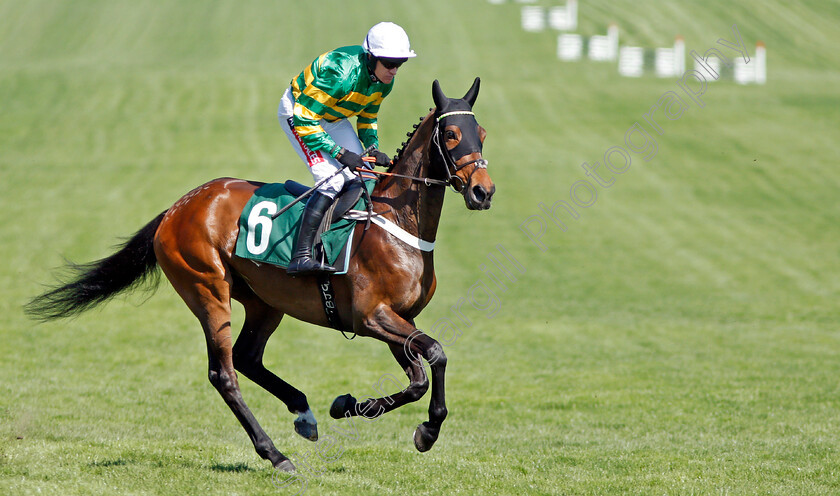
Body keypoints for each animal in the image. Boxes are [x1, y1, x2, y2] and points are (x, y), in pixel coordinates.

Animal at [26, 78, 496, 472]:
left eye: (483, 133)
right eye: (451, 136)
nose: (483, 191)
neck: (396, 223)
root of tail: (178, 207)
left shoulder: (399, 317)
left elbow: (418, 378)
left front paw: (350, 406)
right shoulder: (372, 317)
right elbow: (435, 354)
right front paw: (425, 430)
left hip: (264, 301)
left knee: (248, 357)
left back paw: (304, 413)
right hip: (207, 289)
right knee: (225, 373)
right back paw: (275, 454)